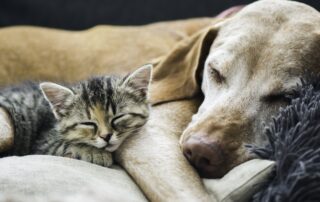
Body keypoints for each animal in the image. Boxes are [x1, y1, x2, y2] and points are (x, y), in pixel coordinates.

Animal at [0, 65, 152, 167]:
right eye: (88, 123)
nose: (106, 136)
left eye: (117, 118)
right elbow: (69, 144)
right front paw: (97, 153)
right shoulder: (43, 143)